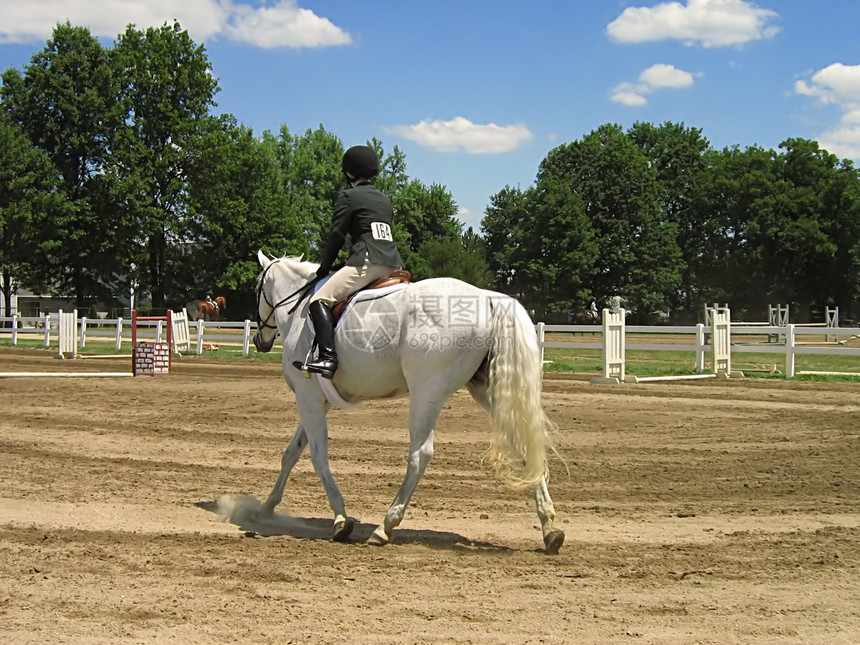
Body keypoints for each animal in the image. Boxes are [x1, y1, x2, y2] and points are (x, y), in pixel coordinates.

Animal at [254, 252, 564, 552]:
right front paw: (267, 507)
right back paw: (550, 529)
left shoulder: (307, 397)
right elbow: (292, 452)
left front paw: (340, 518)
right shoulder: (317, 400)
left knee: (420, 454)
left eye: (257, 287)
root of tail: (487, 297)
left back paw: (385, 526)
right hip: (486, 390)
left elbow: (318, 456)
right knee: (523, 443)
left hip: (426, 392)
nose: (260, 341)